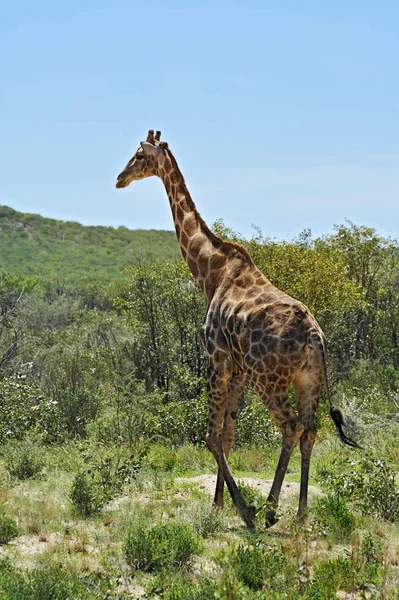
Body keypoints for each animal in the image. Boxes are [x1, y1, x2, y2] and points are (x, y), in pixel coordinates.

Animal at [115, 129, 360, 528]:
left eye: (139, 155)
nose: (119, 178)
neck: (210, 272)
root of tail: (316, 339)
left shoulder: (217, 360)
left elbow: (211, 436)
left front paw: (240, 507)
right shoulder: (239, 370)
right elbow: (228, 435)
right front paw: (219, 504)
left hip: (269, 379)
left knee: (290, 426)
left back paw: (271, 510)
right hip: (307, 380)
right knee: (310, 430)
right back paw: (301, 513)